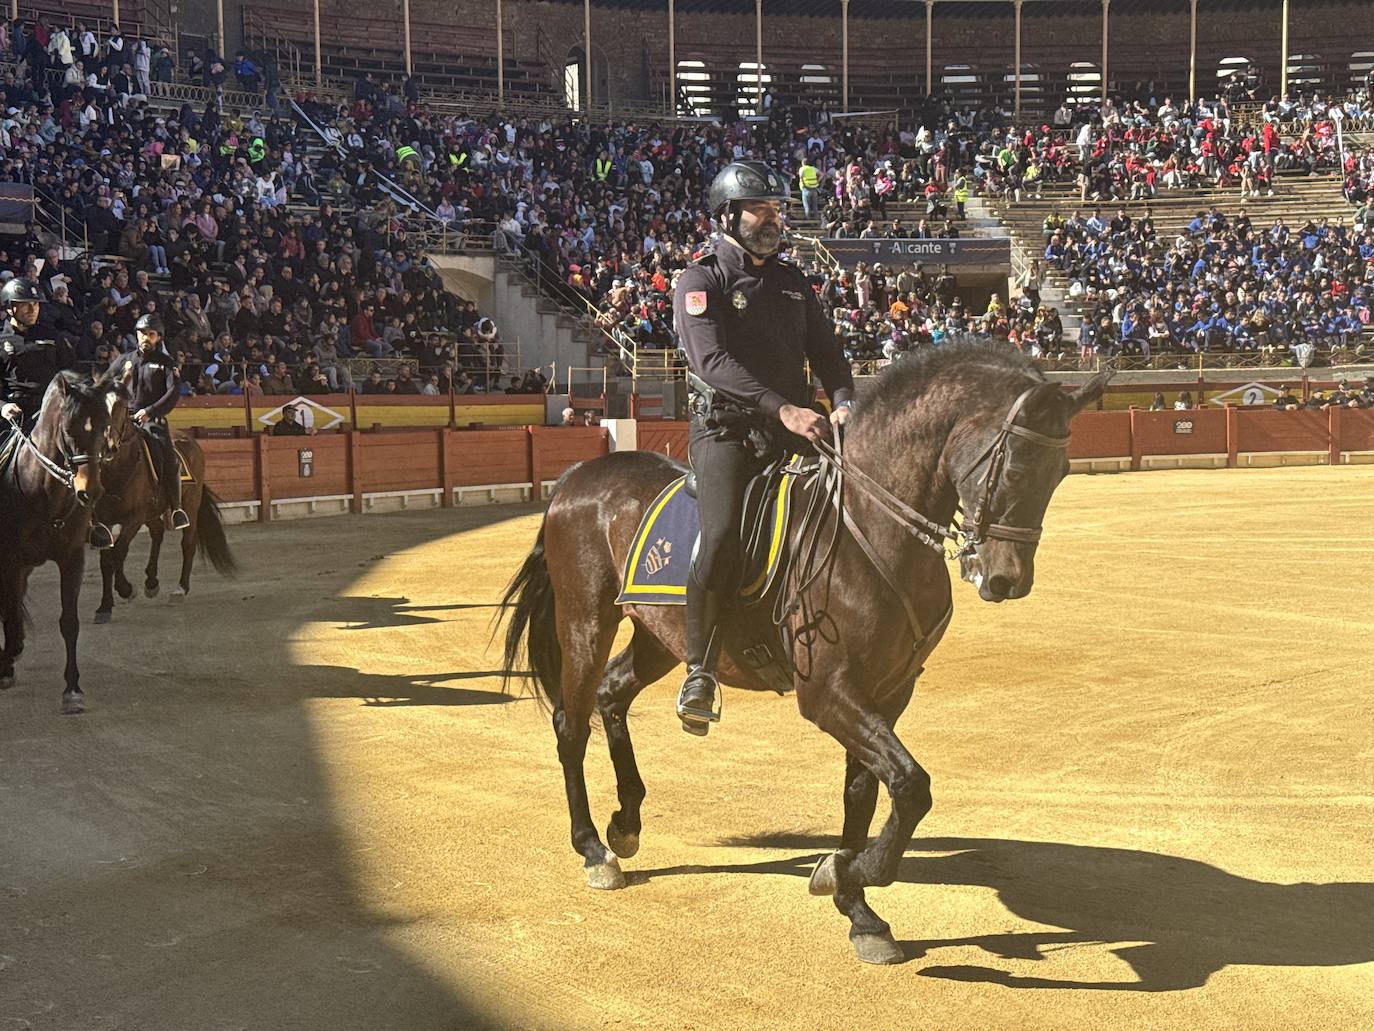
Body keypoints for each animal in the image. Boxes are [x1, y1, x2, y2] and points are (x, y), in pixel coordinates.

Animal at [0, 371, 127, 720]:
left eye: (104, 427)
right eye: (69, 431)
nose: (90, 491)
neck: (45, 493)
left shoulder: (71, 558)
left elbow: (69, 623)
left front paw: (73, 691)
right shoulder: (10, 561)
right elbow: (10, 616)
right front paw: (6, 667)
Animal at [94, 398, 236, 621]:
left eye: (120, 409)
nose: (107, 447)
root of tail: (191, 442)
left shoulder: (134, 517)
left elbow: (119, 551)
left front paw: (126, 589)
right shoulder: (102, 520)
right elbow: (106, 560)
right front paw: (105, 607)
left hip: (190, 502)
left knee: (188, 543)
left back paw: (180, 589)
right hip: (152, 510)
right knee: (158, 531)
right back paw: (151, 582)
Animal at [500, 343, 1110, 967]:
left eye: (1061, 472)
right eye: (1014, 468)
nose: (1007, 580)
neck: (870, 523)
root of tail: (579, 477)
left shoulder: (889, 689)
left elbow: (865, 790)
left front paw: (854, 901)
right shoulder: (827, 693)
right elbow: (911, 785)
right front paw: (857, 872)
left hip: (659, 635)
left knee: (612, 694)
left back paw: (626, 822)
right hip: (585, 620)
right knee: (572, 723)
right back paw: (593, 848)